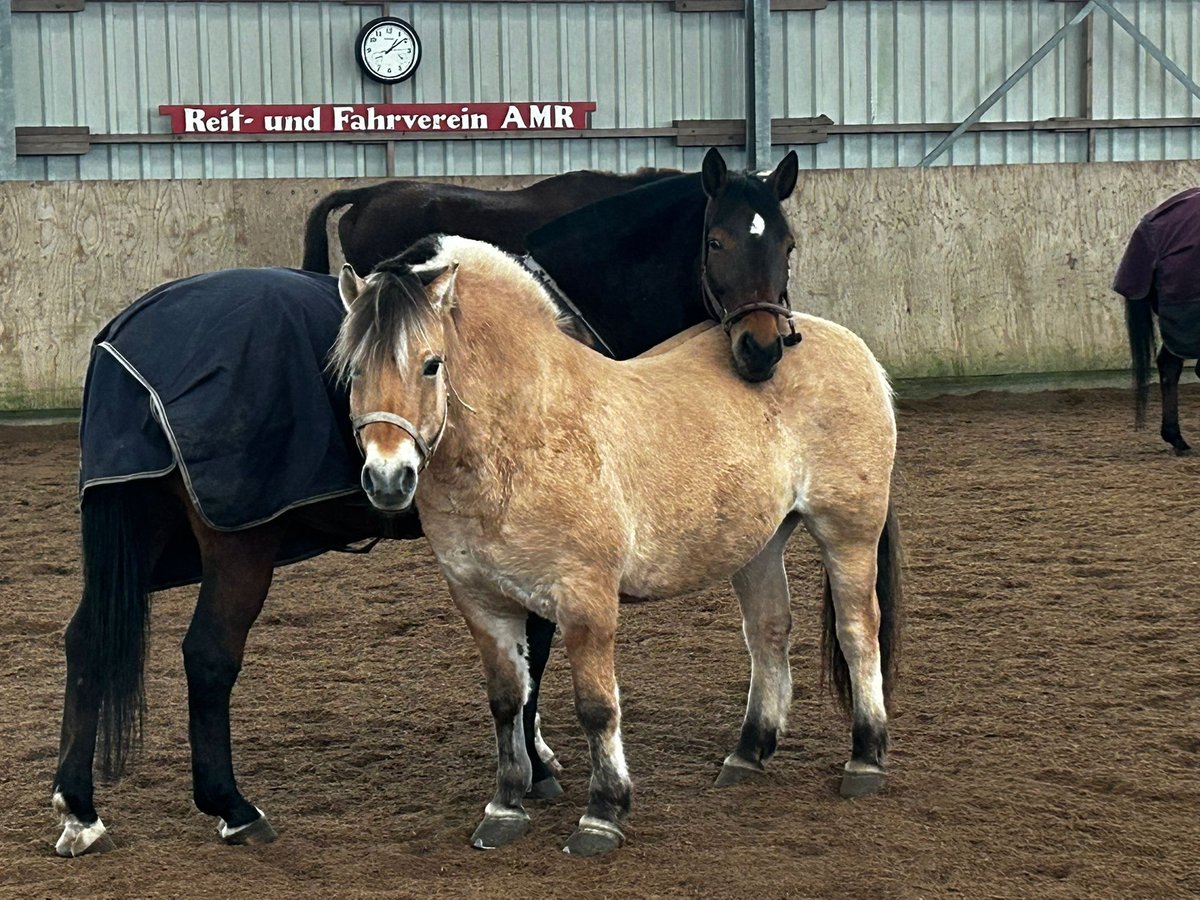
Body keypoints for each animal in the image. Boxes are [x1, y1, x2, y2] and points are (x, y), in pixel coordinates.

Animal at [331, 236, 902, 854]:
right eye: (353, 369)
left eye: (431, 364)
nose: (388, 478)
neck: (523, 434)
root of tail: (849, 346)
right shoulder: (482, 602)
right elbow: (507, 701)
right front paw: (505, 806)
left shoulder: (586, 600)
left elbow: (597, 708)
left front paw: (602, 814)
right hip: (761, 545)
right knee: (768, 633)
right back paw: (749, 753)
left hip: (848, 531)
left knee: (857, 631)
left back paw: (865, 758)